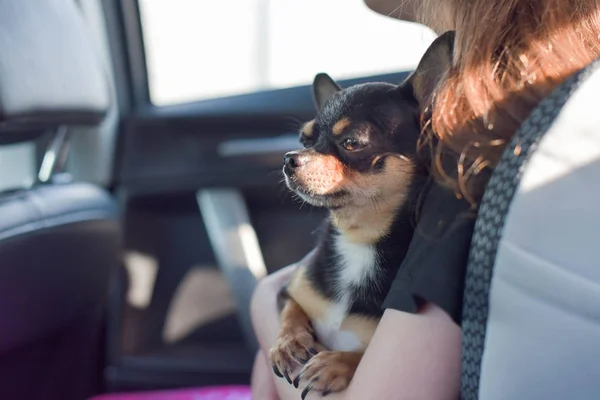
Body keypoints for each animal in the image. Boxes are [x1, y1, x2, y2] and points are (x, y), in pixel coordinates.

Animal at [270, 31, 454, 396]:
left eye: (352, 142)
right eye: (304, 140)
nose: (289, 159)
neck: (359, 238)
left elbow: (362, 355)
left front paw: (335, 363)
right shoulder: (289, 290)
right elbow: (290, 311)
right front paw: (287, 343)